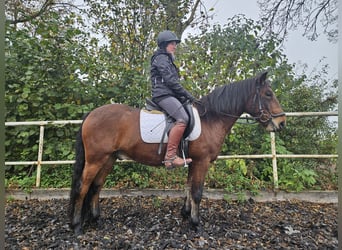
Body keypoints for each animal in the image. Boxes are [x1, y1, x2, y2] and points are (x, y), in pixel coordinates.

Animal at [69, 72, 286, 234]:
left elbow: (189, 188)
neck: (211, 119)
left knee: (96, 187)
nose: (281, 122)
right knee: (82, 187)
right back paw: (77, 226)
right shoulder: (201, 162)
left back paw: (96, 220)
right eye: (268, 94)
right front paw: (196, 224)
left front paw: (186, 214)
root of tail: (91, 114)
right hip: (96, 159)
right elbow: (197, 192)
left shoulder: (193, 162)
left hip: (109, 159)